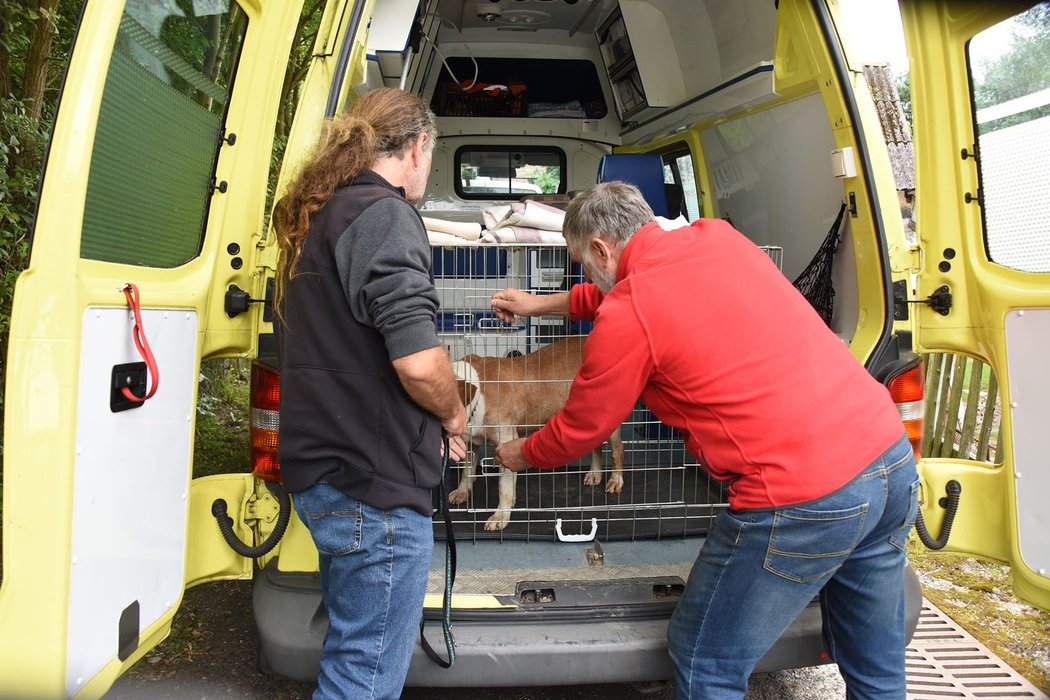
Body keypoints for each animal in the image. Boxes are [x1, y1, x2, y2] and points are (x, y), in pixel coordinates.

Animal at [445, 335, 621, 531]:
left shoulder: (505, 441)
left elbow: (504, 486)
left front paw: (500, 516)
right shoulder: (472, 442)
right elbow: (467, 471)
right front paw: (462, 492)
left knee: (617, 449)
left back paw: (616, 480)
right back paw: (595, 474)